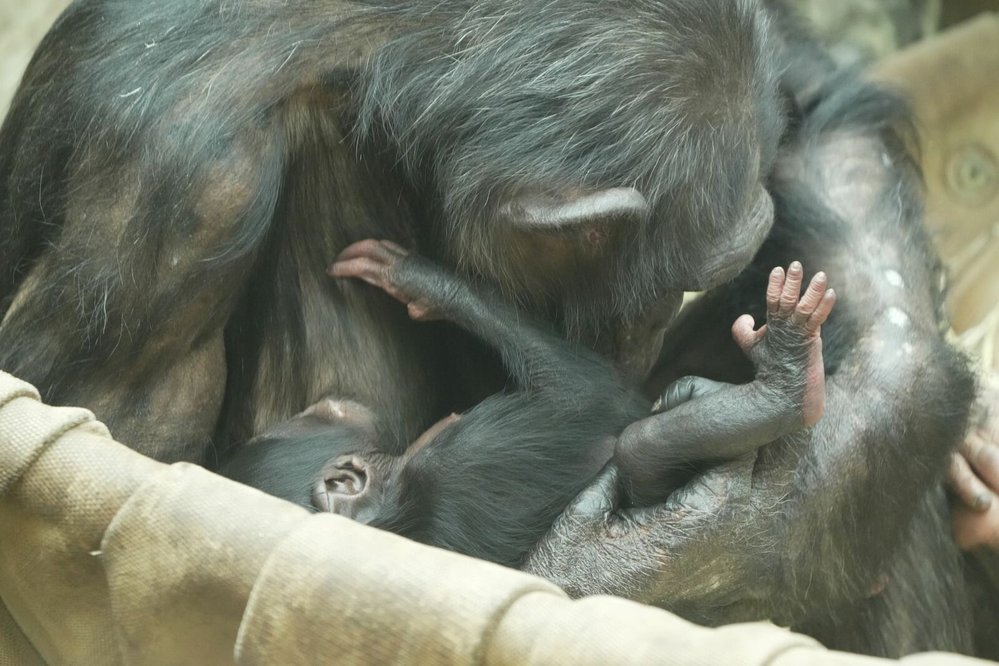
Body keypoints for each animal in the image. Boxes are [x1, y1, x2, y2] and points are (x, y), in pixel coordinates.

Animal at [221, 241, 836, 564]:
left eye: (309, 416)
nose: (326, 404)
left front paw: (411, 282)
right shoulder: (467, 461)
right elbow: (587, 395)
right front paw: (430, 282)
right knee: (639, 444)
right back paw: (785, 381)